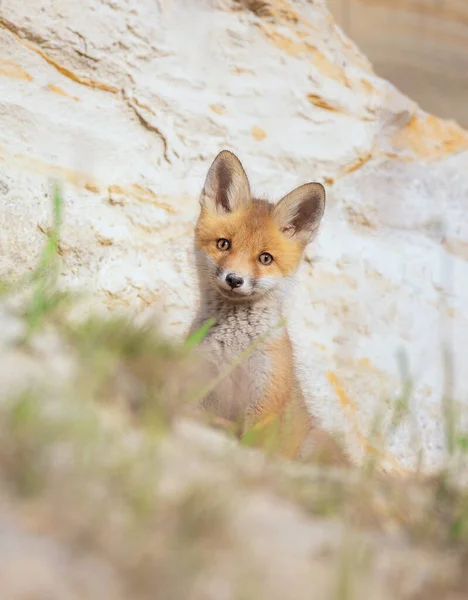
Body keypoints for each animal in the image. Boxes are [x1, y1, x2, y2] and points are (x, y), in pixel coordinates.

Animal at [189, 150, 348, 464]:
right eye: (223, 244)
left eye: (265, 258)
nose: (234, 279)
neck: (233, 350)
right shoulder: (199, 385)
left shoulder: (264, 403)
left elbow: (251, 448)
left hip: (313, 443)